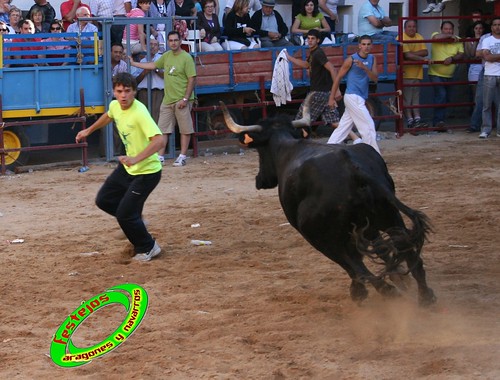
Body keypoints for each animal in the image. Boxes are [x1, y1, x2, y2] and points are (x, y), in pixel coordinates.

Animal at [221, 99, 436, 308]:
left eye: (259, 151)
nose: (259, 180)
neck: (288, 149)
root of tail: (353, 169)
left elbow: (355, 262)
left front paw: (365, 288)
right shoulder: (368, 227)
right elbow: (381, 249)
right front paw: (398, 277)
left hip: (322, 236)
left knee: (356, 266)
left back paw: (375, 291)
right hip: (389, 216)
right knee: (410, 257)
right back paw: (425, 297)